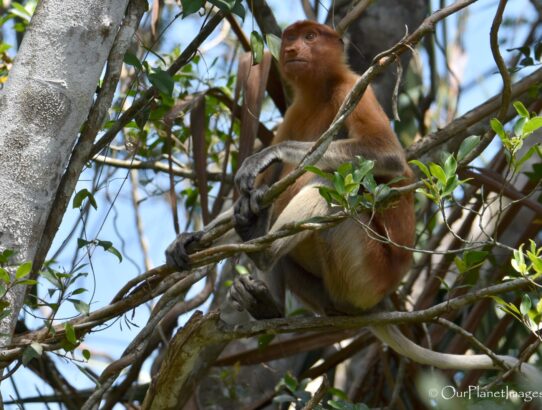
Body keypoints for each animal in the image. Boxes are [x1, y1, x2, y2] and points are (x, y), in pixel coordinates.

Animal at [167, 21, 542, 382]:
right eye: (290, 38)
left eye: (310, 36)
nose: (291, 50)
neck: (319, 91)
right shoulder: (295, 112)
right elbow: (258, 189)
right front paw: (188, 239)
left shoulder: (353, 90)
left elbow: (386, 155)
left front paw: (268, 155)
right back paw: (264, 298)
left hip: (365, 274)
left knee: (328, 186)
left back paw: (261, 249)